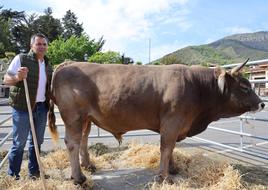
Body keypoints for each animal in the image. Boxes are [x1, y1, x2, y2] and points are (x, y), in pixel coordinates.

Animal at [47, 59, 264, 184]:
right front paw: (163, 176)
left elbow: (172, 148)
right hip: (73, 117)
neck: (197, 87)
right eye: (244, 87)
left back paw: (88, 166)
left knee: (83, 140)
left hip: (86, 119)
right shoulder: (172, 121)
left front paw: (173, 169)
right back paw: (78, 178)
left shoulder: (177, 124)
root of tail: (67, 63)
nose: (262, 103)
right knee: (72, 143)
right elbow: (166, 148)